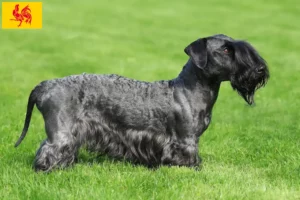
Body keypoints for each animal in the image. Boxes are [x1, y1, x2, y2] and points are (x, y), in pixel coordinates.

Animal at [14, 34, 270, 172]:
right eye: (226, 49)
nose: (260, 69)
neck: (189, 88)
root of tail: (45, 85)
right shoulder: (185, 140)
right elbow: (188, 158)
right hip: (62, 132)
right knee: (49, 150)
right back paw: (48, 170)